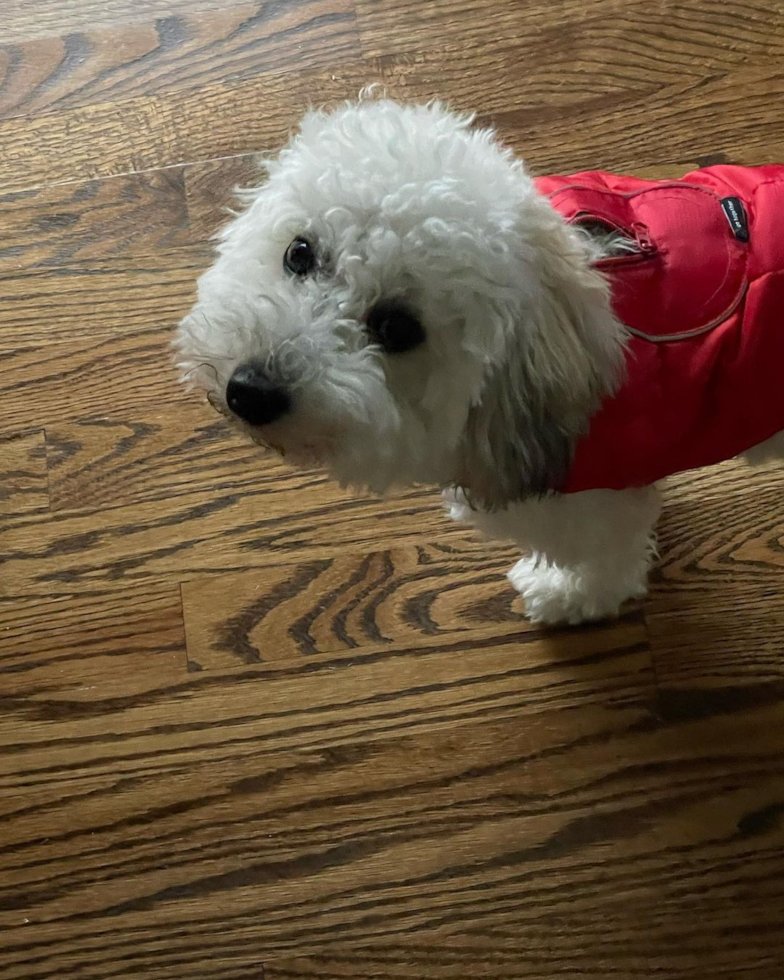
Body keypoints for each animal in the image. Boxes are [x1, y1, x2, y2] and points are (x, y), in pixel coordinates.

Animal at [176, 95, 784, 624]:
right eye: (299, 252)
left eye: (397, 328)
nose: (249, 391)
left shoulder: (598, 508)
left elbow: (606, 566)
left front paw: (565, 597)